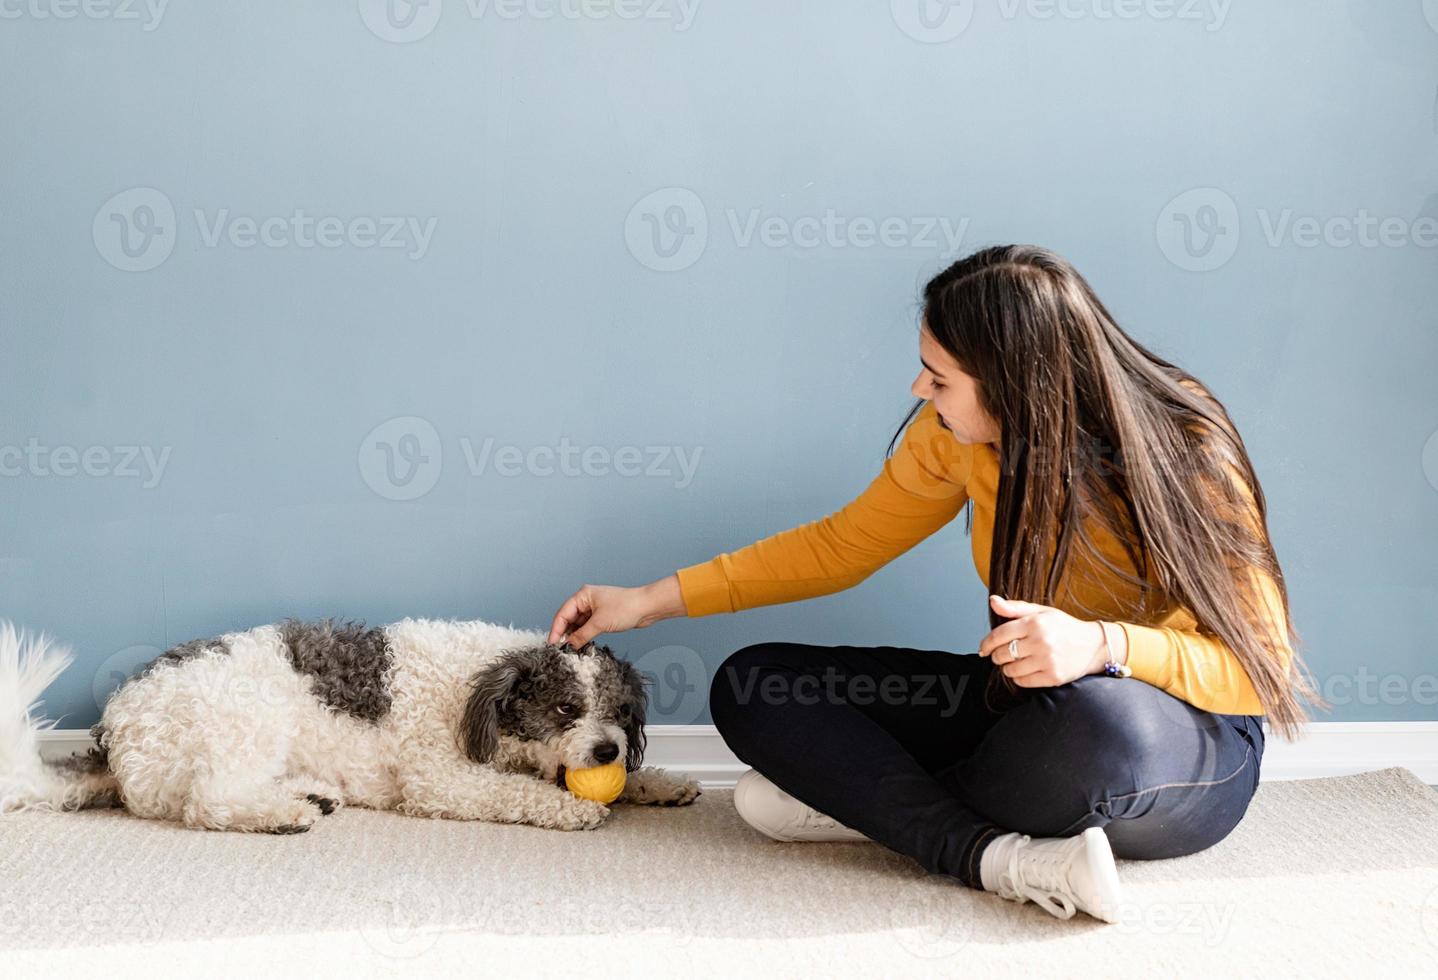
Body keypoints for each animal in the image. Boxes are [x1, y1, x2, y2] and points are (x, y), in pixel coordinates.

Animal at [0, 615, 701, 827]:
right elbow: (520, 793)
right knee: (208, 801)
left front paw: (663, 782)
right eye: (564, 709)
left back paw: (309, 794)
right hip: (249, 719)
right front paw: (576, 809)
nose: (609, 752)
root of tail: (115, 728)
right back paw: (285, 815)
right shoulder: (442, 780)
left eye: (620, 711)